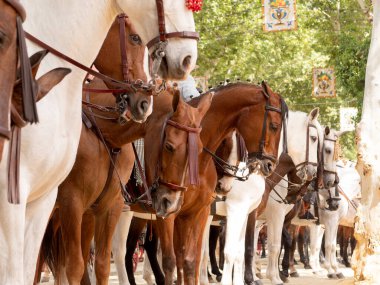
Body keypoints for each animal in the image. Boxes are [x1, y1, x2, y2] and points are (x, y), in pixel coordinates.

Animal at [0, 1, 197, 282]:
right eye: (135, 38)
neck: (105, 134)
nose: (144, 103)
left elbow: (101, 264)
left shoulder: (104, 207)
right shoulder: (66, 202)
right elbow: (74, 265)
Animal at [147, 82, 286, 284]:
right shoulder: (234, 210)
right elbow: (227, 252)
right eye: (274, 126)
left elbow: (227, 253)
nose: (269, 165)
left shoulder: (207, 212)